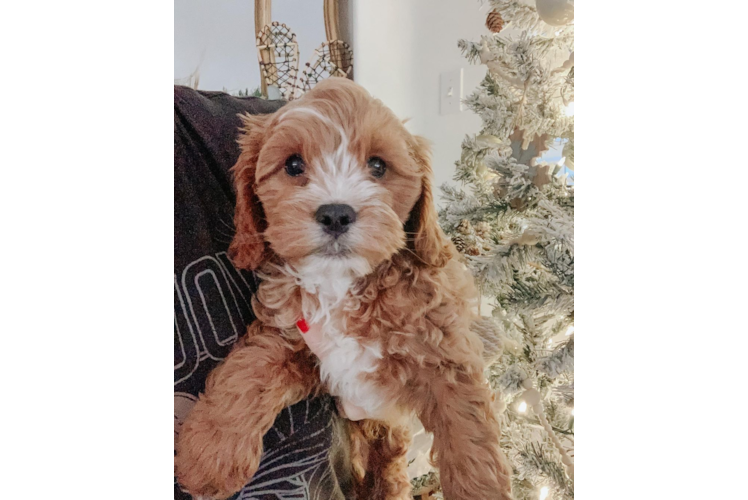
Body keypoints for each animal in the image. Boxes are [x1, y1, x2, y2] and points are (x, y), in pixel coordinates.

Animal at [175, 77, 516, 500]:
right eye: (293, 165)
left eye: (378, 166)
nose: (336, 214)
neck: (341, 282)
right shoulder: (290, 333)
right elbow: (250, 369)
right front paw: (209, 454)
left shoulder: (445, 348)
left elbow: (468, 435)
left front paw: (481, 487)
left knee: (392, 458)